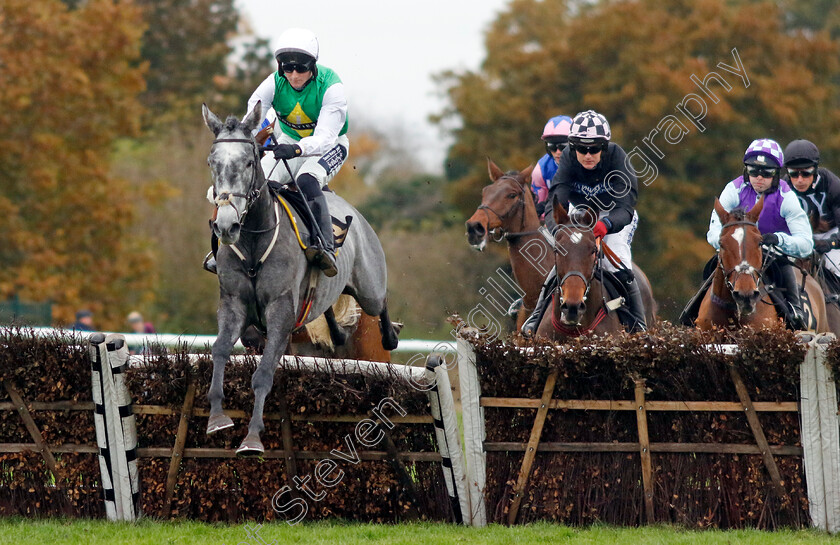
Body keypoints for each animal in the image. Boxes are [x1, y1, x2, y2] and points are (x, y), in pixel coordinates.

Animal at [203, 102, 400, 454]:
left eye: (249, 161)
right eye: (213, 163)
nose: (226, 226)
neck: (253, 244)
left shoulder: (281, 314)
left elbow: (264, 373)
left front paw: (253, 437)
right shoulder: (234, 305)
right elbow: (220, 351)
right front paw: (216, 417)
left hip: (369, 289)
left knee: (380, 303)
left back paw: (390, 335)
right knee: (330, 310)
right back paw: (337, 333)